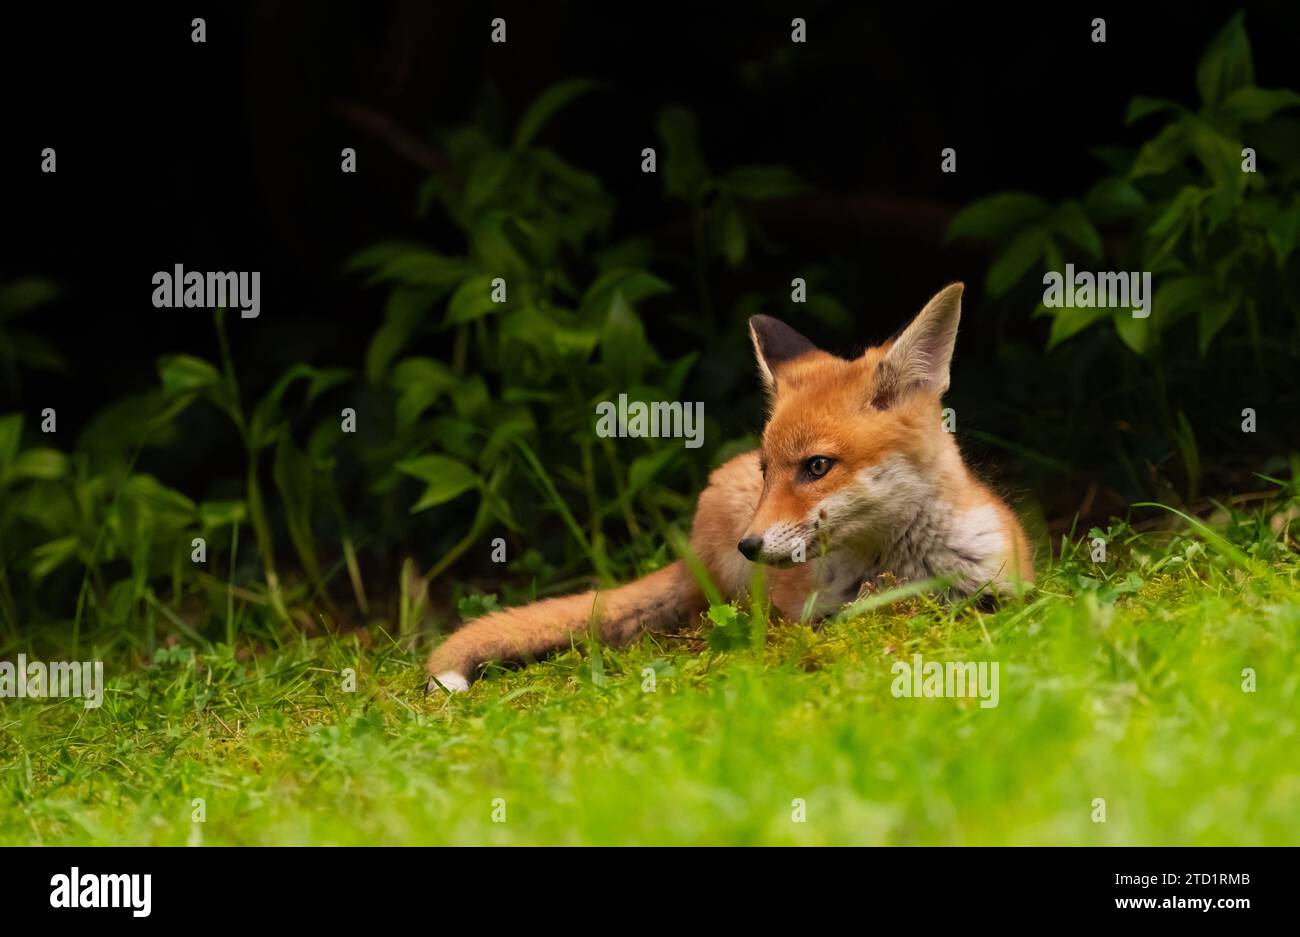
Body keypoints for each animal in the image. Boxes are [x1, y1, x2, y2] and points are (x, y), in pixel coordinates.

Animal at [427, 283, 1032, 691]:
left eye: (817, 467)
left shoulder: (1005, 587)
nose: (751, 545)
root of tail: (696, 545)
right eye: (770, 470)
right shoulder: (819, 616)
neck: (903, 572)